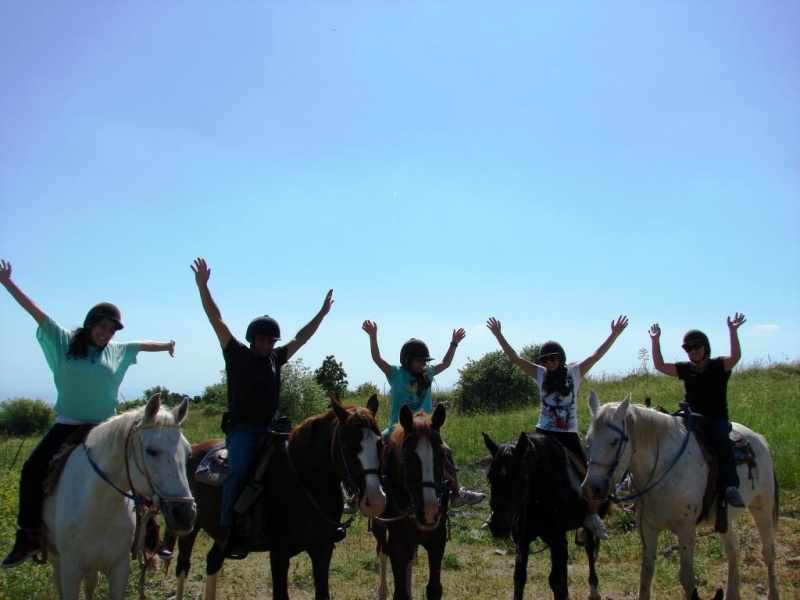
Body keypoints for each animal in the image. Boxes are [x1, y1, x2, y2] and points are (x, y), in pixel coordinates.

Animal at [41, 394, 196, 600]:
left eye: (188, 453)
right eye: (151, 451)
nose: (185, 515)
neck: (100, 509)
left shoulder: (119, 568)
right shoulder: (70, 570)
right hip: (55, 558)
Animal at [167, 396, 386, 596]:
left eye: (380, 444)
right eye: (348, 445)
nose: (375, 500)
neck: (303, 479)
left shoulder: (323, 550)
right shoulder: (279, 554)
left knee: (213, 561)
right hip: (189, 527)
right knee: (183, 566)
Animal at [374, 400, 450, 600]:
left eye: (442, 454)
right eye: (407, 456)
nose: (429, 512)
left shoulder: (437, 540)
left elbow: (434, 589)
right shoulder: (398, 544)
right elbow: (399, 593)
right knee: (382, 552)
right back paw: (382, 591)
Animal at [482, 432, 600, 600]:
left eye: (519, 477)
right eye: (490, 477)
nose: (498, 525)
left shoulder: (557, 540)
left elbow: (558, 583)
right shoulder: (522, 540)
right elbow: (519, 579)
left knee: (590, 548)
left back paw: (593, 590)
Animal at [580, 390, 780, 600]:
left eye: (614, 441)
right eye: (588, 441)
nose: (590, 488)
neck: (663, 469)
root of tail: (758, 438)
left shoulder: (686, 529)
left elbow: (687, 577)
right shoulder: (647, 526)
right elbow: (646, 571)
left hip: (762, 506)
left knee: (768, 552)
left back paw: (773, 593)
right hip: (723, 519)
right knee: (733, 549)